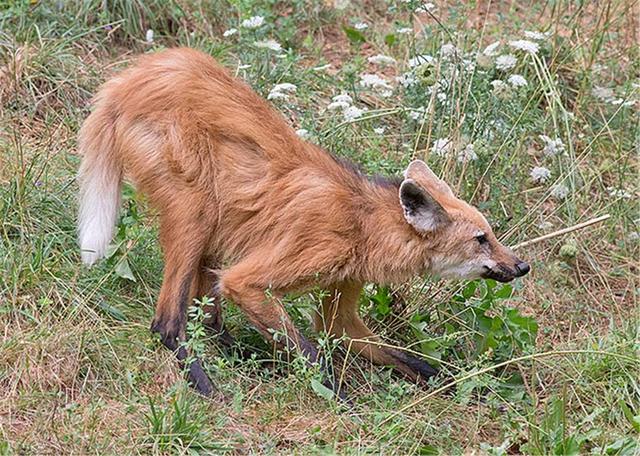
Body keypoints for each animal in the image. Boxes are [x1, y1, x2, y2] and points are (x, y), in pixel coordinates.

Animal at [77, 47, 528, 396]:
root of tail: (130, 77)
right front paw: (343, 398)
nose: (522, 266)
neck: (363, 223)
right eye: (481, 239)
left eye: (492, 235)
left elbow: (399, 355)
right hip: (197, 214)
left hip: (215, 228)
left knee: (209, 317)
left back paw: (242, 355)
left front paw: (465, 386)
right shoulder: (256, 279)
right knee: (167, 323)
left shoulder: (343, 291)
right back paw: (207, 386)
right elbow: (313, 354)